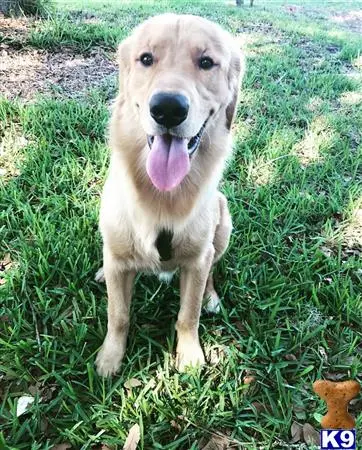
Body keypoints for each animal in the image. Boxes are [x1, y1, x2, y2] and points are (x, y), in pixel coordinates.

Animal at [94, 13, 245, 376]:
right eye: (146, 59)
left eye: (206, 62)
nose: (167, 109)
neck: (161, 197)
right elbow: (118, 314)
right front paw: (110, 358)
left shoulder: (196, 259)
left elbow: (188, 314)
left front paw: (189, 355)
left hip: (223, 220)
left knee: (212, 269)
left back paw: (211, 297)